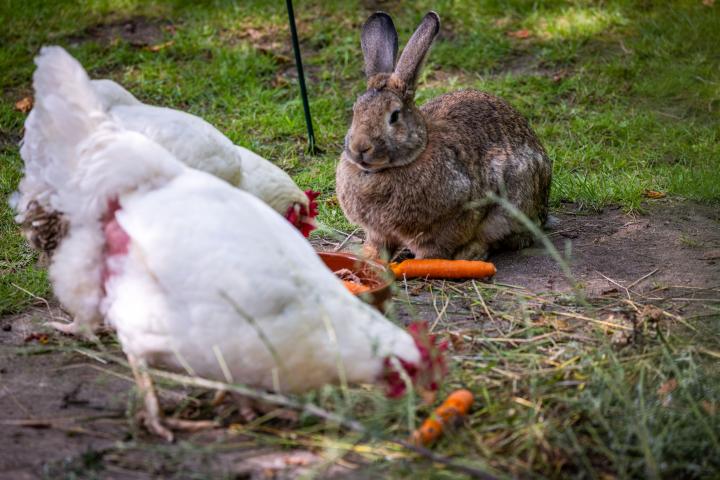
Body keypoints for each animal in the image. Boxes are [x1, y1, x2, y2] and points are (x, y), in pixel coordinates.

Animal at [336, 11, 552, 260]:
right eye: (355, 110)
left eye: (394, 116)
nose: (360, 147)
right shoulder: (378, 232)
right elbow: (377, 246)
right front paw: (367, 259)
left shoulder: (450, 221)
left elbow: (433, 251)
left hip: (512, 207)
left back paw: (468, 255)